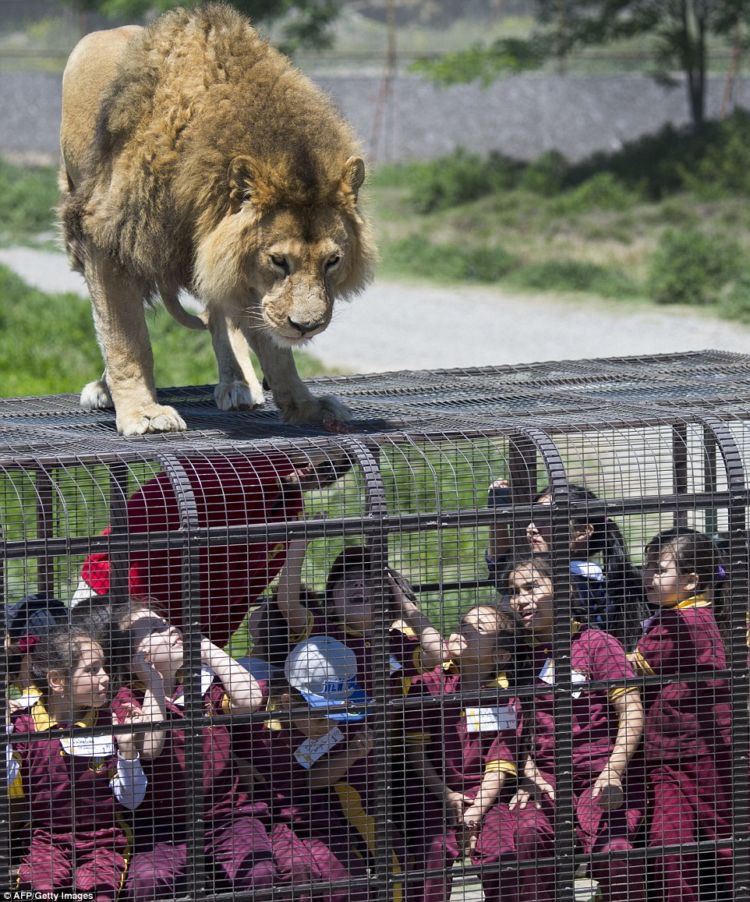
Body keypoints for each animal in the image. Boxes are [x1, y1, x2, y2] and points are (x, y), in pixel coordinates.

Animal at [60, 2, 376, 434]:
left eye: (332, 261)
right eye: (279, 261)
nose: (307, 326)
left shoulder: (238, 266)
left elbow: (273, 347)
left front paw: (304, 406)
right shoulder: (106, 238)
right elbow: (125, 337)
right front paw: (143, 412)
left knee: (221, 316)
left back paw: (239, 383)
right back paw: (107, 388)